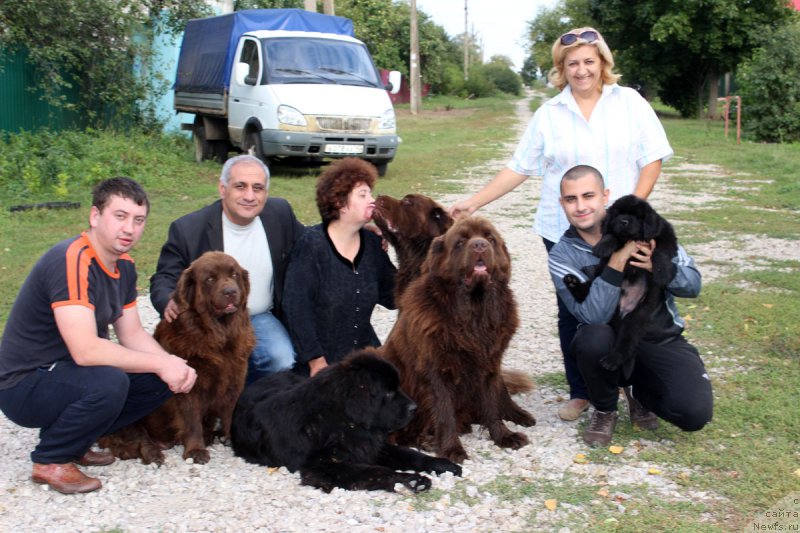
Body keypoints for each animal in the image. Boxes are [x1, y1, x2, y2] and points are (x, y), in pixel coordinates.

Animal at [99, 251, 253, 464]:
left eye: (234, 274)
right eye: (210, 279)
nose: (230, 291)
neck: (217, 336)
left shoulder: (235, 377)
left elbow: (231, 410)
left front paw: (230, 437)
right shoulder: (188, 384)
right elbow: (191, 419)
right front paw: (196, 450)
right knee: (135, 440)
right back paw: (154, 453)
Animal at [228, 350, 460, 490]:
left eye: (398, 387)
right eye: (388, 393)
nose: (414, 408)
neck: (341, 420)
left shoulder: (371, 447)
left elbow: (410, 454)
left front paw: (441, 464)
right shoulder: (326, 465)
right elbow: (375, 471)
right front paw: (411, 479)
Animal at [382, 215, 536, 462]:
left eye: (490, 238)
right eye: (461, 242)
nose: (480, 245)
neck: (473, 312)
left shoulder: (489, 367)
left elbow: (492, 405)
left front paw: (503, 436)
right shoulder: (437, 372)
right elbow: (444, 413)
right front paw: (451, 449)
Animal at [564, 193, 676, 376]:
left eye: (637, 216)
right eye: (618, 214)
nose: (623, 222)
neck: (631, 239)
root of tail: (623, 310)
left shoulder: (665, 234)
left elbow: (660, 252)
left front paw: (662, 272)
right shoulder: (614, 234)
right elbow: (612, 235)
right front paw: (603, 246)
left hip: (636, 317)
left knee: (626, 343)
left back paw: (612, 360)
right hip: (601, 282)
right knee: (588, 288)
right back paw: (573, 283)